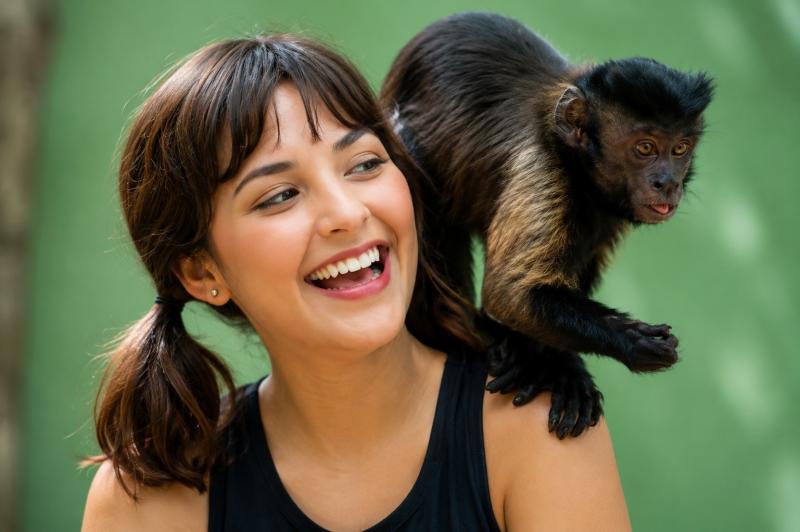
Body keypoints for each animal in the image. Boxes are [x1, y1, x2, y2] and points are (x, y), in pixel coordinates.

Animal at [380, 12, 713, 436]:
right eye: (645, 149)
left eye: (680, 149)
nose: (667, 182)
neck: (579, 171)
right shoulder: (543, 168)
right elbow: (509, 294)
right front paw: (627, 340)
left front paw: (561, 365)